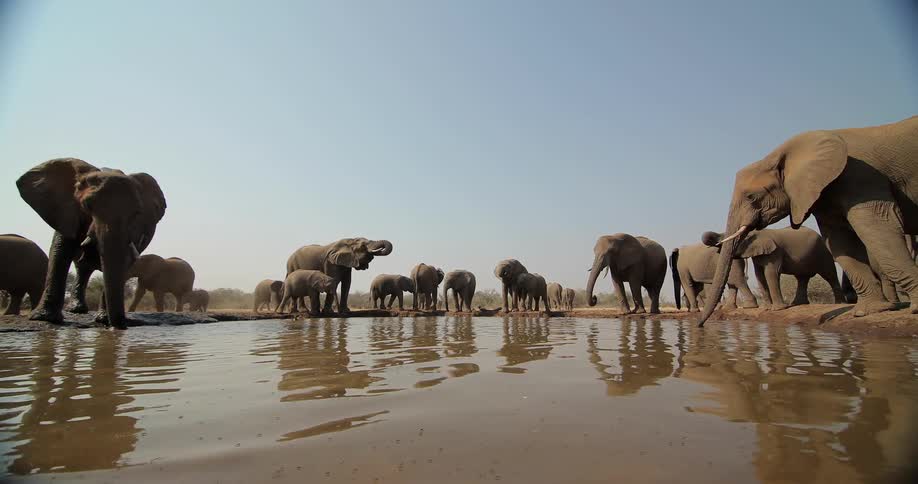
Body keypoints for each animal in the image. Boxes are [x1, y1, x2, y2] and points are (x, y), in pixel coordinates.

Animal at [16, 158, 166, 329]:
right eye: (87, 206)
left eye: (137, 213)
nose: (119, 327)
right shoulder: (66, 211)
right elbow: (60, 251)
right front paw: (44, 318)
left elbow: (123, 260)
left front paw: (104, 320)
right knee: (82, 266)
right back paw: (76, 310)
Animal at [703, 226, 845, 310]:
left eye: (736, 238)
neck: (757, 232)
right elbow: (759, 275)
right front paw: (766, 308)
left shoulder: (775, 251)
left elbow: (771, 273)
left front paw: (778, 309)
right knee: (802, 278)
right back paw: (797, 304)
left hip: (823, 252)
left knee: (830, 274)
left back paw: (839, 303)